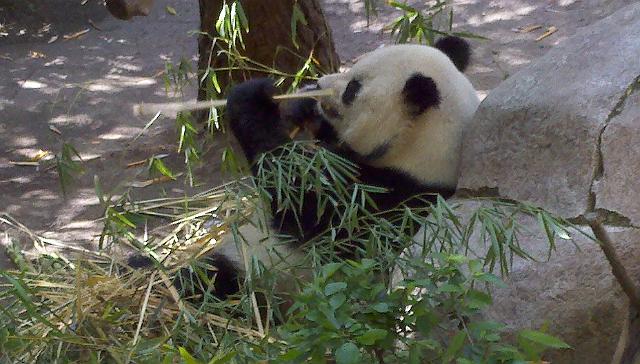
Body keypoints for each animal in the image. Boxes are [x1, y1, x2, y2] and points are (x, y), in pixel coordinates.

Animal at [172, 36, 478, 304]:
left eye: (352, 88)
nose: (318, 83)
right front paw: (302, 105)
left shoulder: (383, 201)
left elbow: (298, 199)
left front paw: (254, 95)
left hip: (267, 275)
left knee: (213, 284)